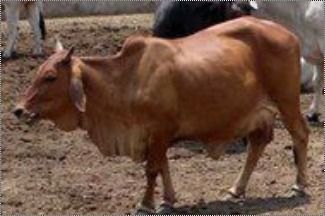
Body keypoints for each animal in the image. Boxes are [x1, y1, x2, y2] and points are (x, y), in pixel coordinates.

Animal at [14, 17, 308, 214]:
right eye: (38, 71)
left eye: (50, 77)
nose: (19, 110)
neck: (127, 79)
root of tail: (288, 33)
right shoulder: (157, 135)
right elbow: (163, 166)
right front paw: (167, 200)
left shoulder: (158, 131)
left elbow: (152, 169)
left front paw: (145, 204)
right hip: (259, 113)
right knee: (257, 144)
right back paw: (236, 189)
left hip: (287, 101)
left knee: (299, 134)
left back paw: (299, 185)